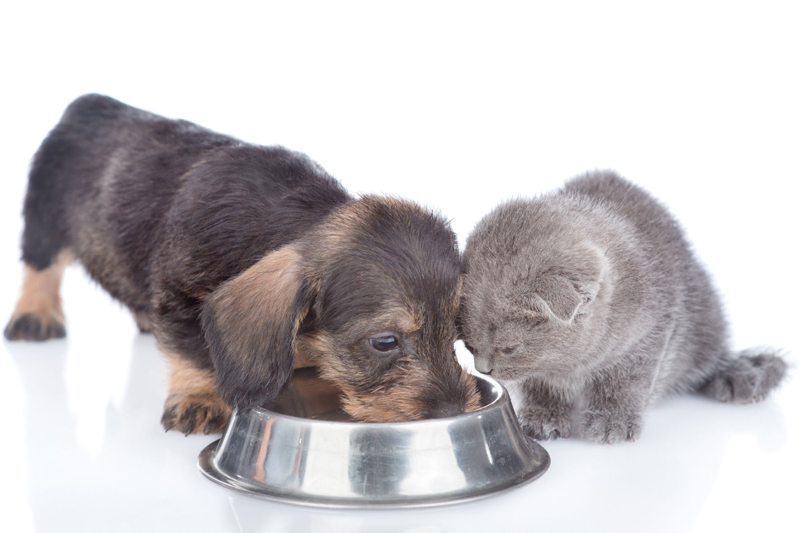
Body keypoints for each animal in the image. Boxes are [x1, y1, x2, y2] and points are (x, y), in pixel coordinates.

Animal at [4, 94, 482, 432]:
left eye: (455, 334)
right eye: (385, 342)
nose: (453, 410)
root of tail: (90, 104)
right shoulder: (180, 293)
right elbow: (194, 352)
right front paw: (200, 399)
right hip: (45, 219)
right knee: (39, 267)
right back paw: (34, 314)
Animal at [460, 171, 792, 444]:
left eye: (509, 348)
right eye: (469, 346)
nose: (482, 369)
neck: (573, 364)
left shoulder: (649, 338)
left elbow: (624, 384)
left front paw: (612, 421)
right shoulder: (542, 372)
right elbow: (541, 386)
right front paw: (544, 416)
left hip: (704, 322)